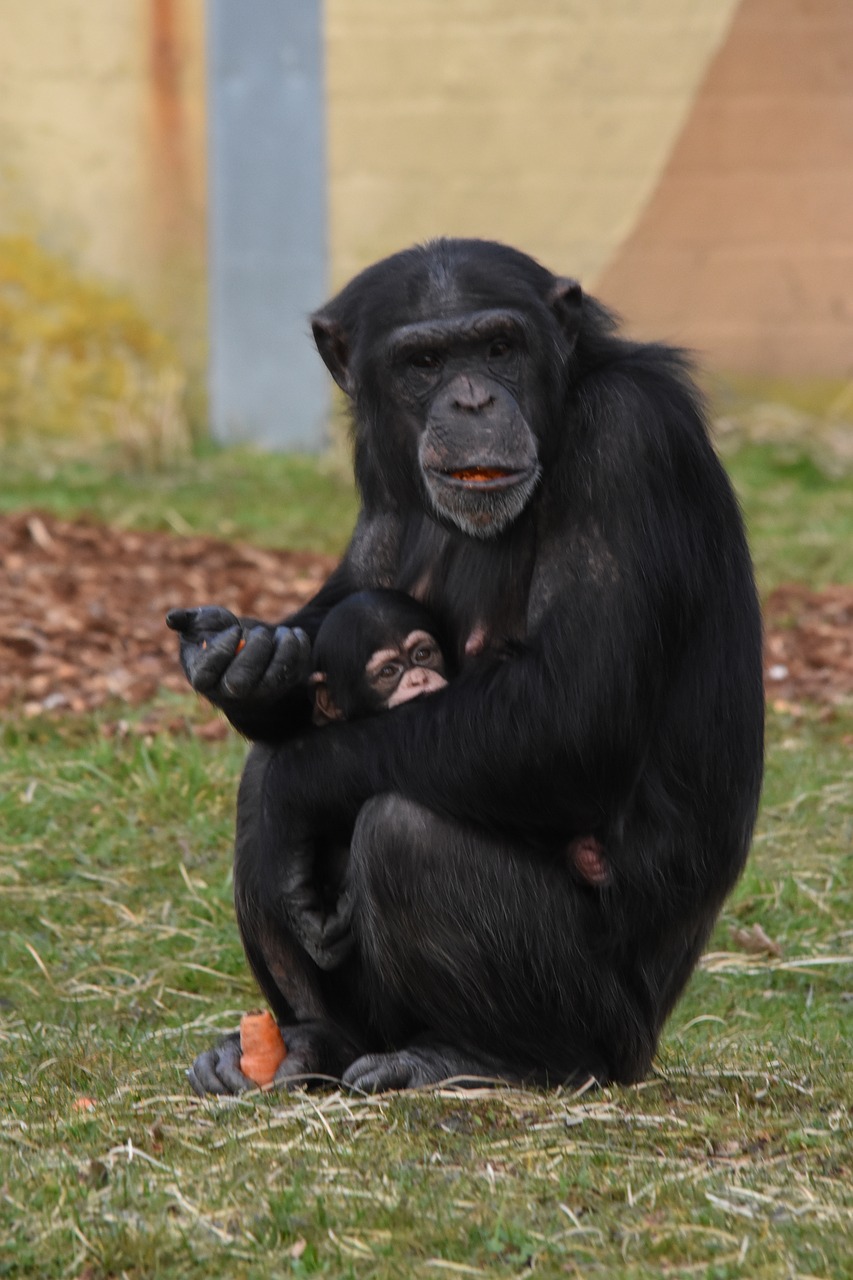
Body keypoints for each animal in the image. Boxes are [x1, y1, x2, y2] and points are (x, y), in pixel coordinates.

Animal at [163, 238, 758, 1090]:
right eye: (424, 361)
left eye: (499, 348)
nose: (472, 400)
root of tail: (644, 1045)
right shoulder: (380, 467)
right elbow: (352, 595)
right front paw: (252, 663)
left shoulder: (629, 444)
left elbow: (568, 716)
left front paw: (287, 795)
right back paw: (309, 1041)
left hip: (610, 1031)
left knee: (395, 830)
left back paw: (481, 1057)